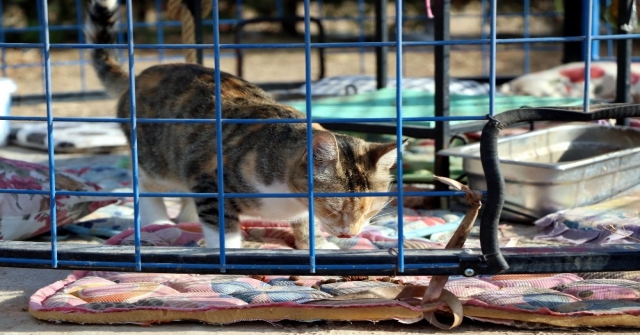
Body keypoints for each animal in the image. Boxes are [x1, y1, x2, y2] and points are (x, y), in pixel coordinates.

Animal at [85, 0, 404, 249]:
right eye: (335, 206)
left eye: (372, 209)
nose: (350, 233)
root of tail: (137, 77)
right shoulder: (210, 178)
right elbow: (220, 225)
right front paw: (230, 251)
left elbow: (306, 221)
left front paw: (317, 245)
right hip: (155, 158)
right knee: (148, 183)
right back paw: (159, 221)